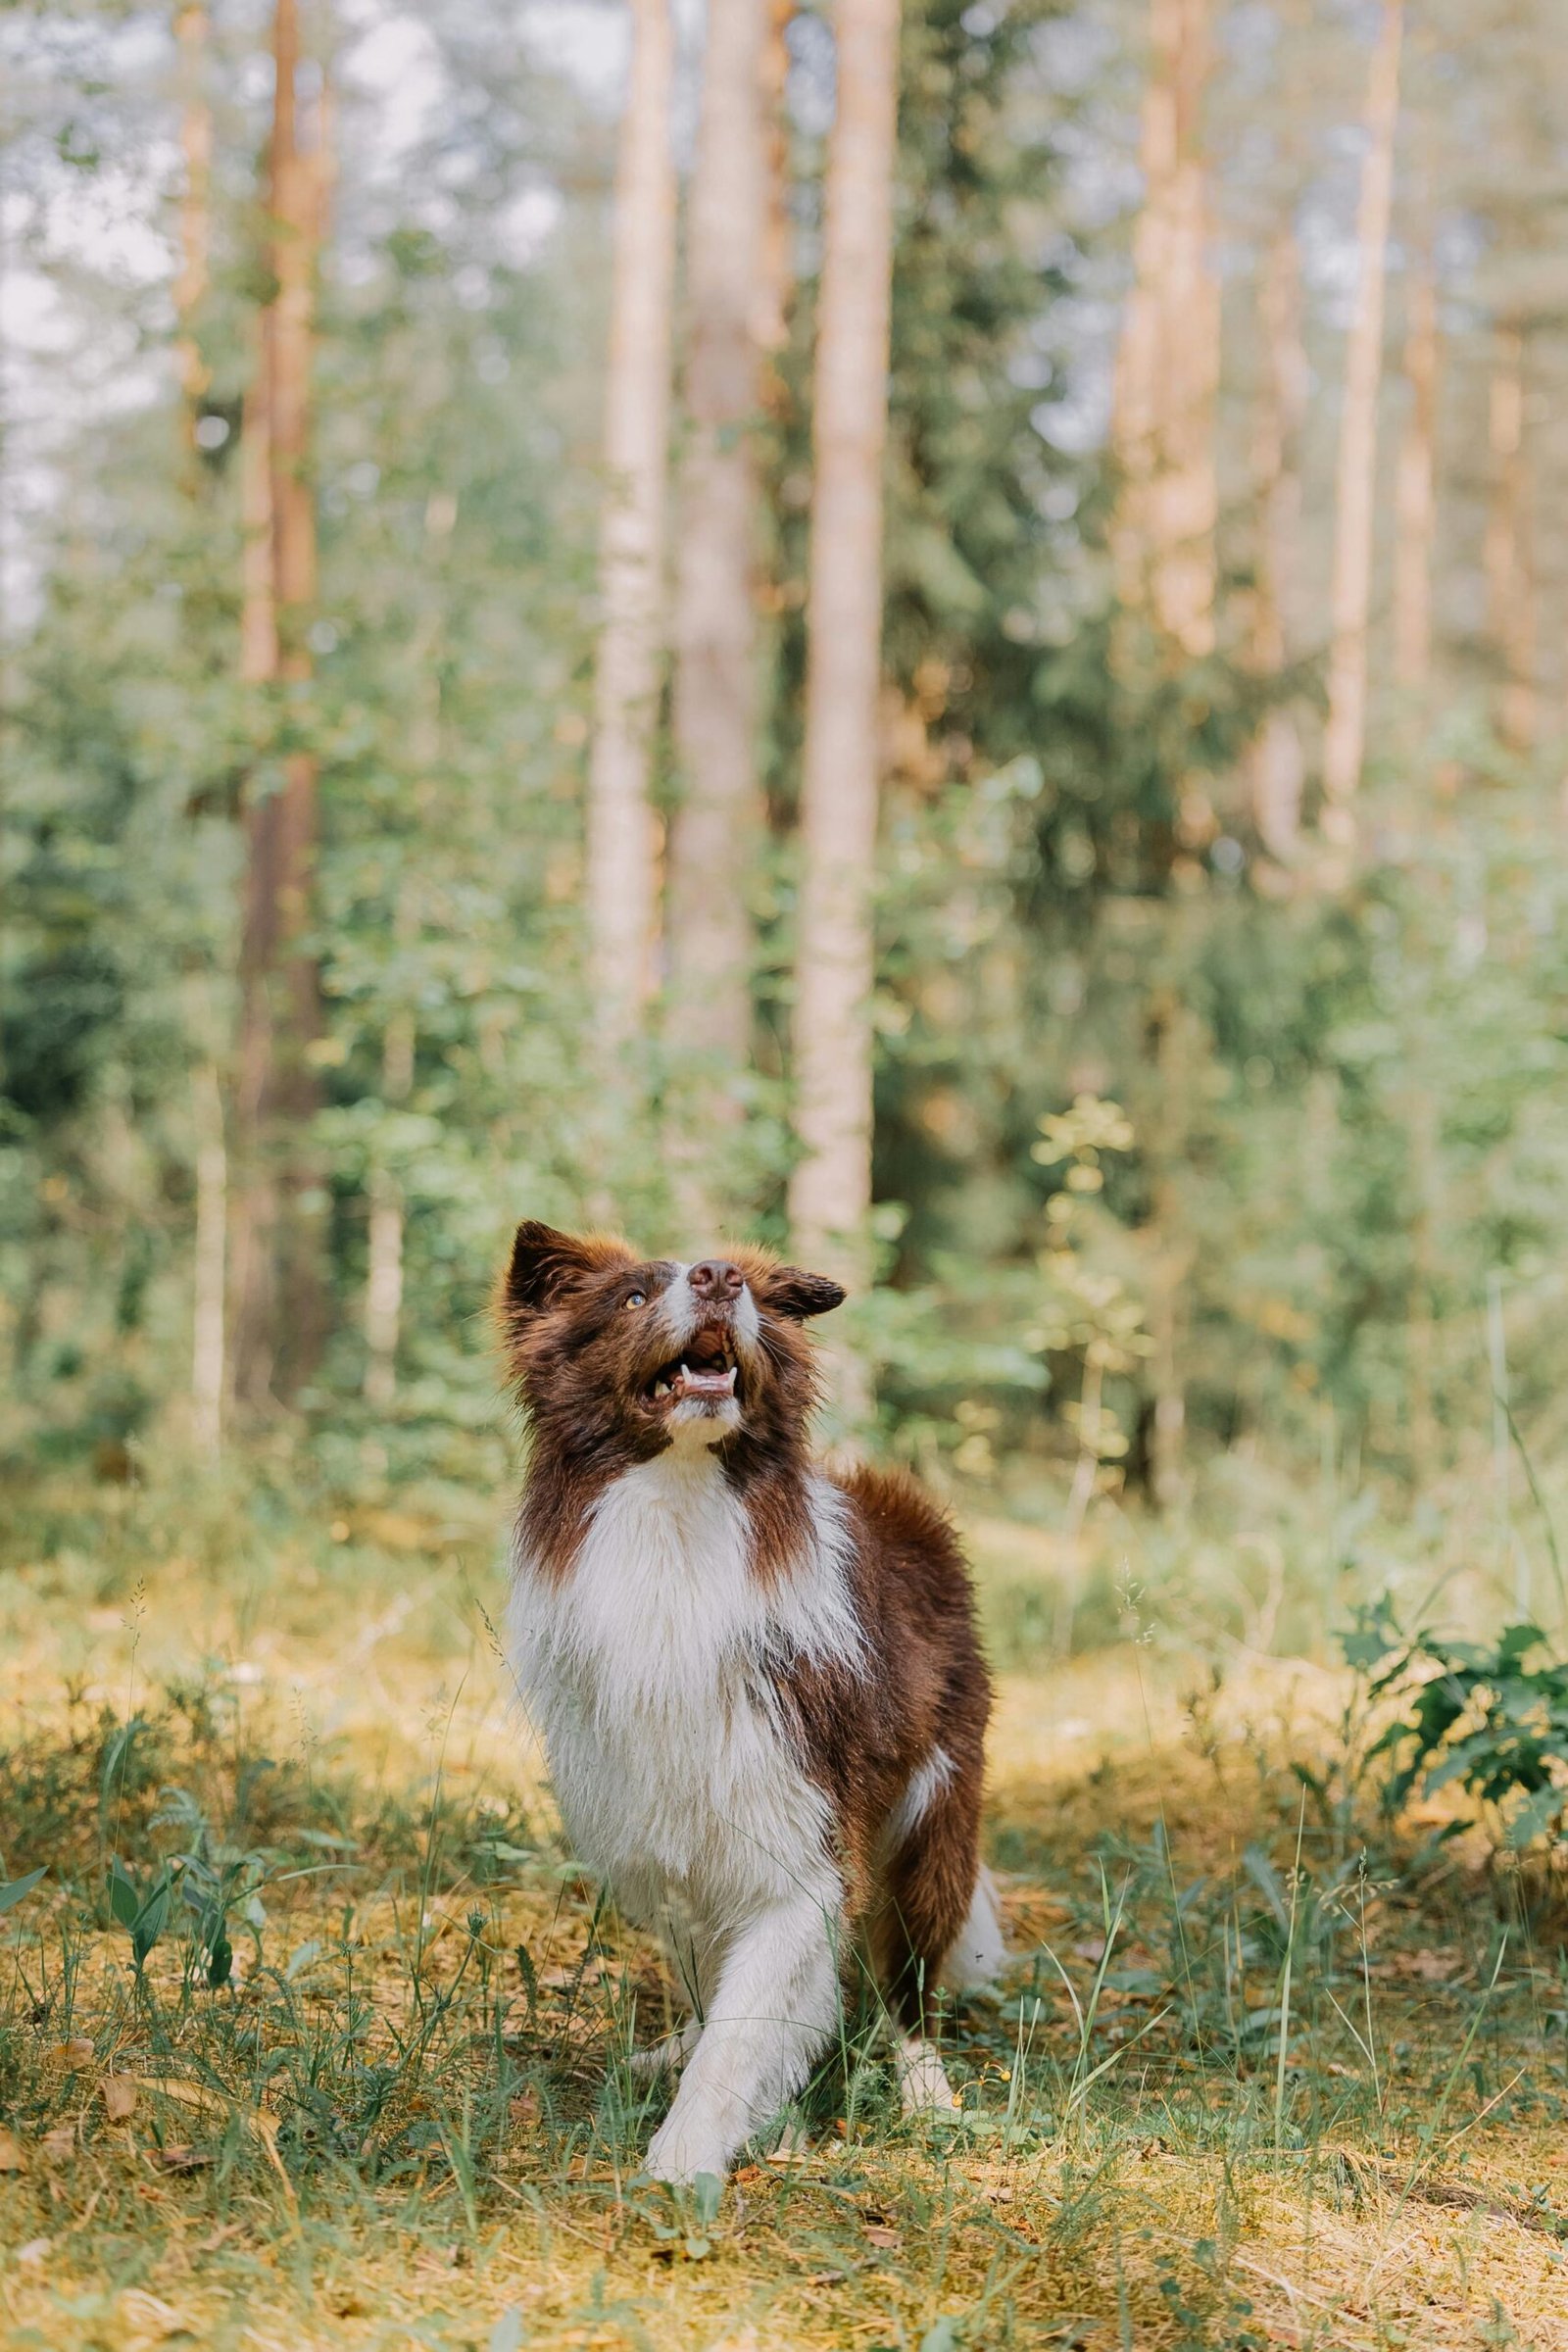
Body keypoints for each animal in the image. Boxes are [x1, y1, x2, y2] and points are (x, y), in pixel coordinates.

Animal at [496, 1232, 1001, 2182]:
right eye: (630, 1297)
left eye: (754, 1298)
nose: (720, 1279)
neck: (678, 1510)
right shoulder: (661, 1825)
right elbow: (716, 1992)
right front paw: (703, 2080)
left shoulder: (801, 1835)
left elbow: (746, 2026)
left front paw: (681, 2159)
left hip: (937, 1811)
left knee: (911, 1980)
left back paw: (927, 2092)